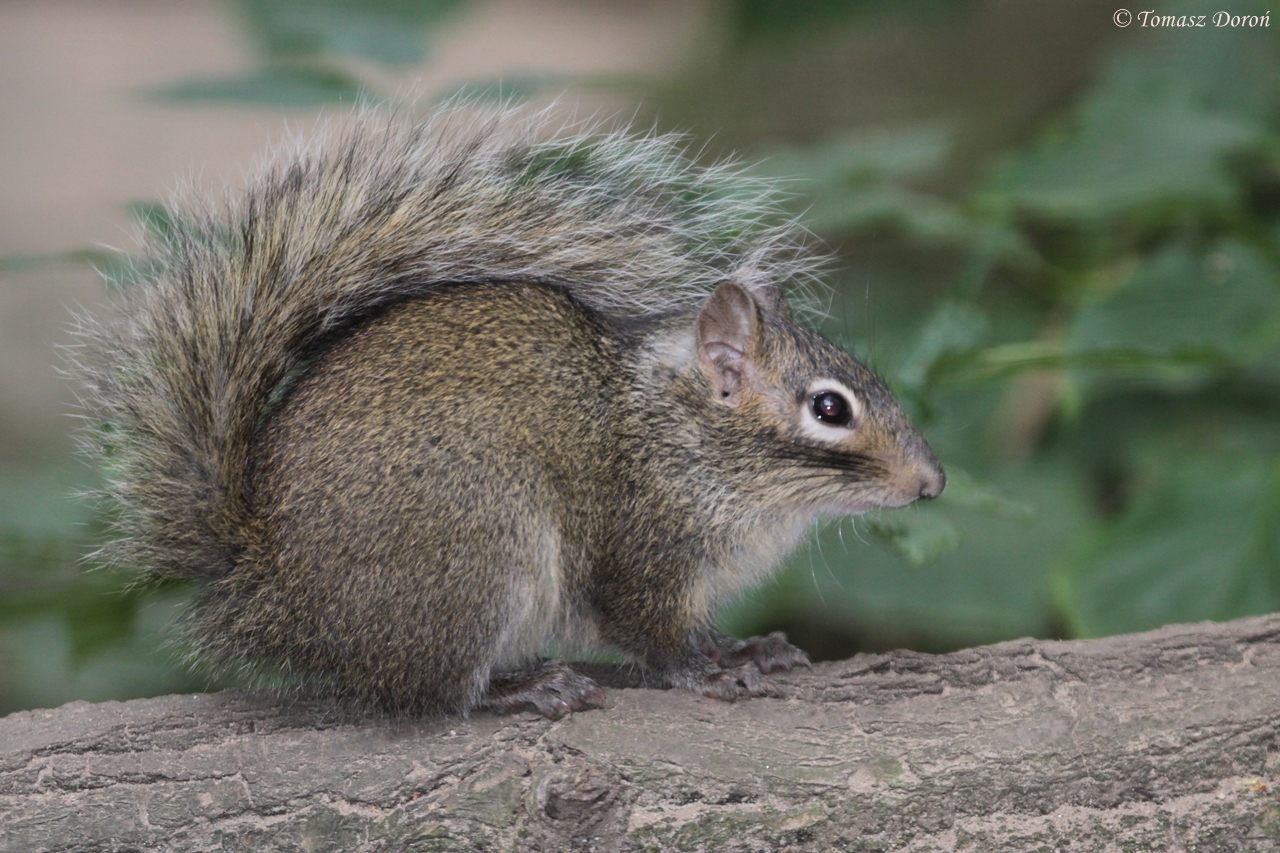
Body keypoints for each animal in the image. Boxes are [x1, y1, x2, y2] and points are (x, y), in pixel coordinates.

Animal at [73, 106, 945, 719]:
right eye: (829, 407)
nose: (931, 483)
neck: (684, 436)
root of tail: (266, 582)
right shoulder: (643, 554)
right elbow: (654, 636)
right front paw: (711, 670)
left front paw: (751, 646)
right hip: (477, 554)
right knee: (430, 693)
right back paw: (518, 689)